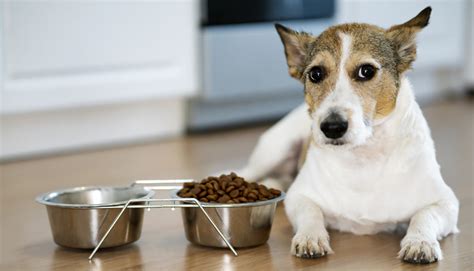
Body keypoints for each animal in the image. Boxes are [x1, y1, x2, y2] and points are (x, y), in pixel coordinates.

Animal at [239, 7, 458, 264]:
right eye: (316, 74)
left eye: (366, 71)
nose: (332, 127)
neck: (363, 155)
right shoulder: (299, 197)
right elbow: (311, 212)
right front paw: (311, 237)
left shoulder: (446, 203)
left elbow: (424, 216)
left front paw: (419, 241)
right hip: (274, 151)